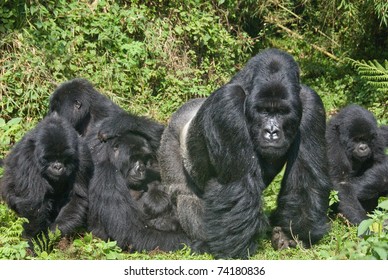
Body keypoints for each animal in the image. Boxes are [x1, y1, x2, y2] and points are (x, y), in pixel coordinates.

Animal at [85, 116, 189, 252]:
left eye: (144, 158)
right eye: (133, 158)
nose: (141, 169)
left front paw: (119, 122)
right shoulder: (106, 174)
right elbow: (132, 234)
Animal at [158, 47, 330, 258]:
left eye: (282, 112)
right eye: (263, 111)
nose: (271, 132)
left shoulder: (311, 103)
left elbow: (306, 177)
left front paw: (293, 235)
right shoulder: (227, 102)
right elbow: (238, 184)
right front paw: (235, 251)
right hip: (169, 139)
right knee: (184, 195)